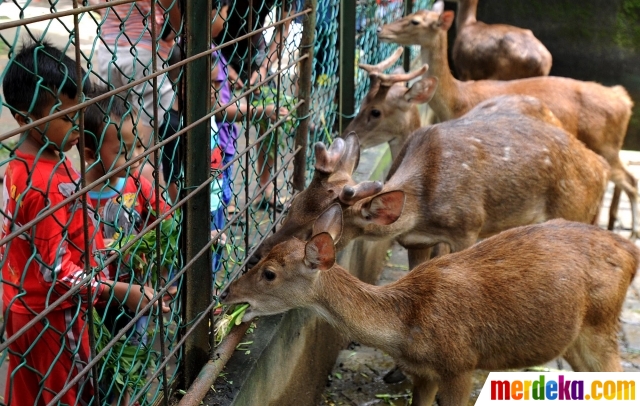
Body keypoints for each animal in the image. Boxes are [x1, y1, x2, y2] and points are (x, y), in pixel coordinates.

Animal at [221, 208, 640, 404]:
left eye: (270, 273)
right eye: (262, 258)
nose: (227, 295)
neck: (406, 326)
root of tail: (630, 250)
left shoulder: (461, 364)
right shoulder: (423, 373)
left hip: (602, 324)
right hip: (576, 338)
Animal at [380, 3, 636, 238]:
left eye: (415, 21)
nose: (381, 30)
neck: (458, 100)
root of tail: (624, 99)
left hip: (605, 146)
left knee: (629, 180)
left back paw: (632, 231)